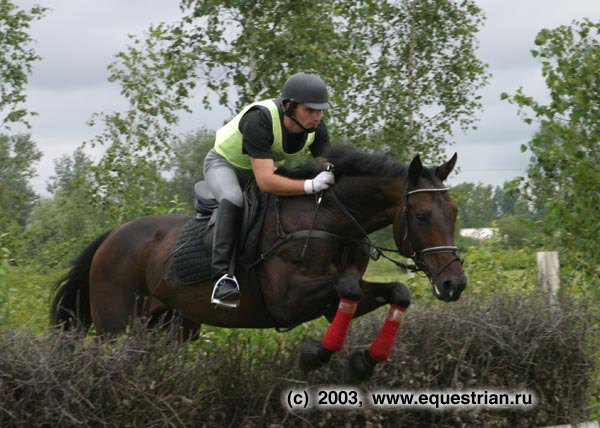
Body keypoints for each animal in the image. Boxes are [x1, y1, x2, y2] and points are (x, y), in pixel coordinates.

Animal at [50, 145, 464, 380]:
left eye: (455, 212)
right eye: (422, 216)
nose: (454, 284)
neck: (330, 220)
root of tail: (110, 237)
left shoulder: (335, 303)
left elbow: (396, 292)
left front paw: (365, 361)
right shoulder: (288, 300)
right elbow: (344, 288)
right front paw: (316, 354)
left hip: (171, 327)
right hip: (115, 329)